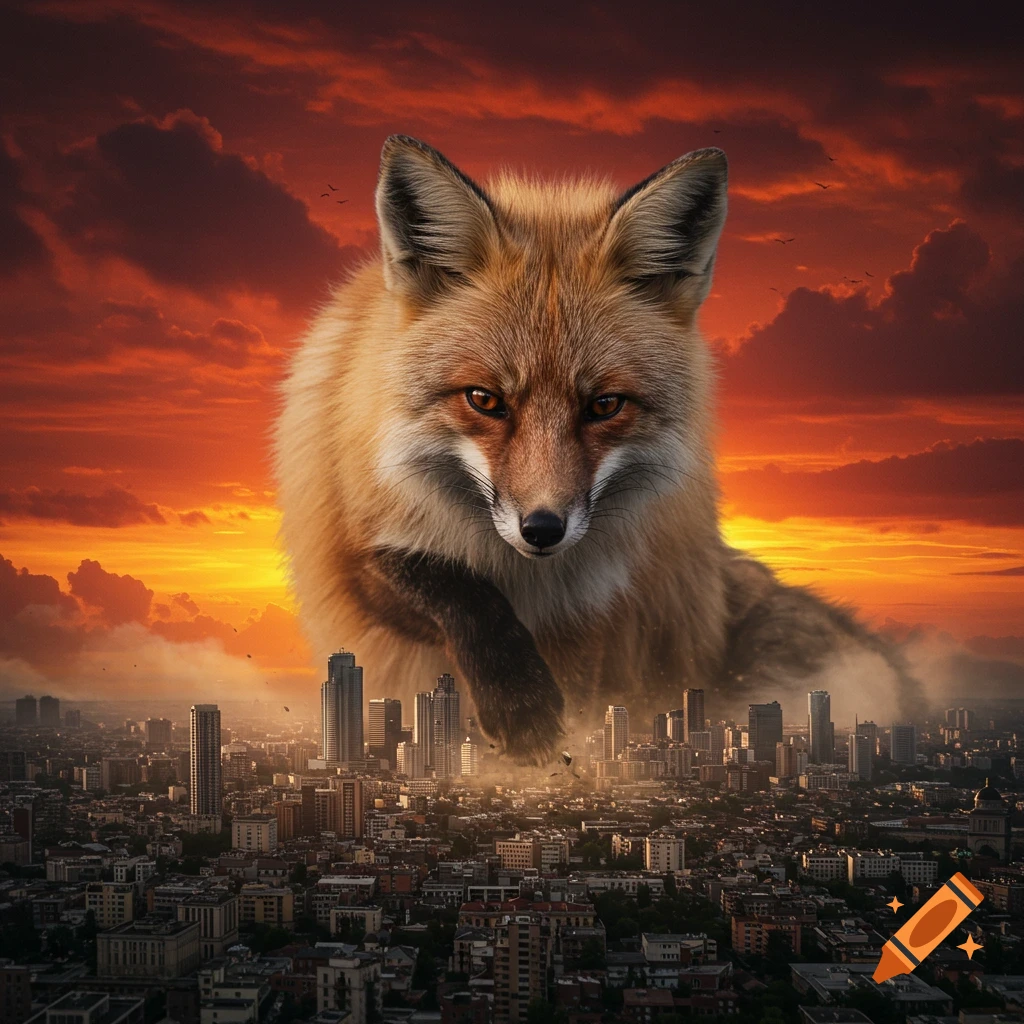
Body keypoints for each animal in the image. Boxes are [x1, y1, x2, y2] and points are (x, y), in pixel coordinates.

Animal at [274, 135, 920, 764]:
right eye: (484, 399)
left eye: (605, 405)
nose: (542, 528)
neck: (528, 580)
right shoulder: (350, 550)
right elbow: (455, 588)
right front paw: (523, 708)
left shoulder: (591, 609)